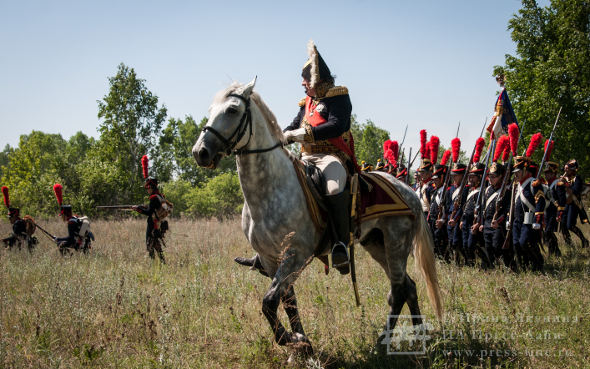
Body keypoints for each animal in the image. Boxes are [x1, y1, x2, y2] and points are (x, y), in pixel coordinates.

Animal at [194, 79, 444, 352]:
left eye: (232, 110)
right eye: (210, 110)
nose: (200, 152)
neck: (270, 190)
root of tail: (409, 192)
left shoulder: (295, 255)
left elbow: (269, 301)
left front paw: (293, 339)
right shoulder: (271, 259)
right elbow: (287, 301)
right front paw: (302, 345)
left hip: (396, 242)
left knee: (398, 290)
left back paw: (381, 343)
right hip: (376, 243)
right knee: (408, 287)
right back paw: (418, 335)